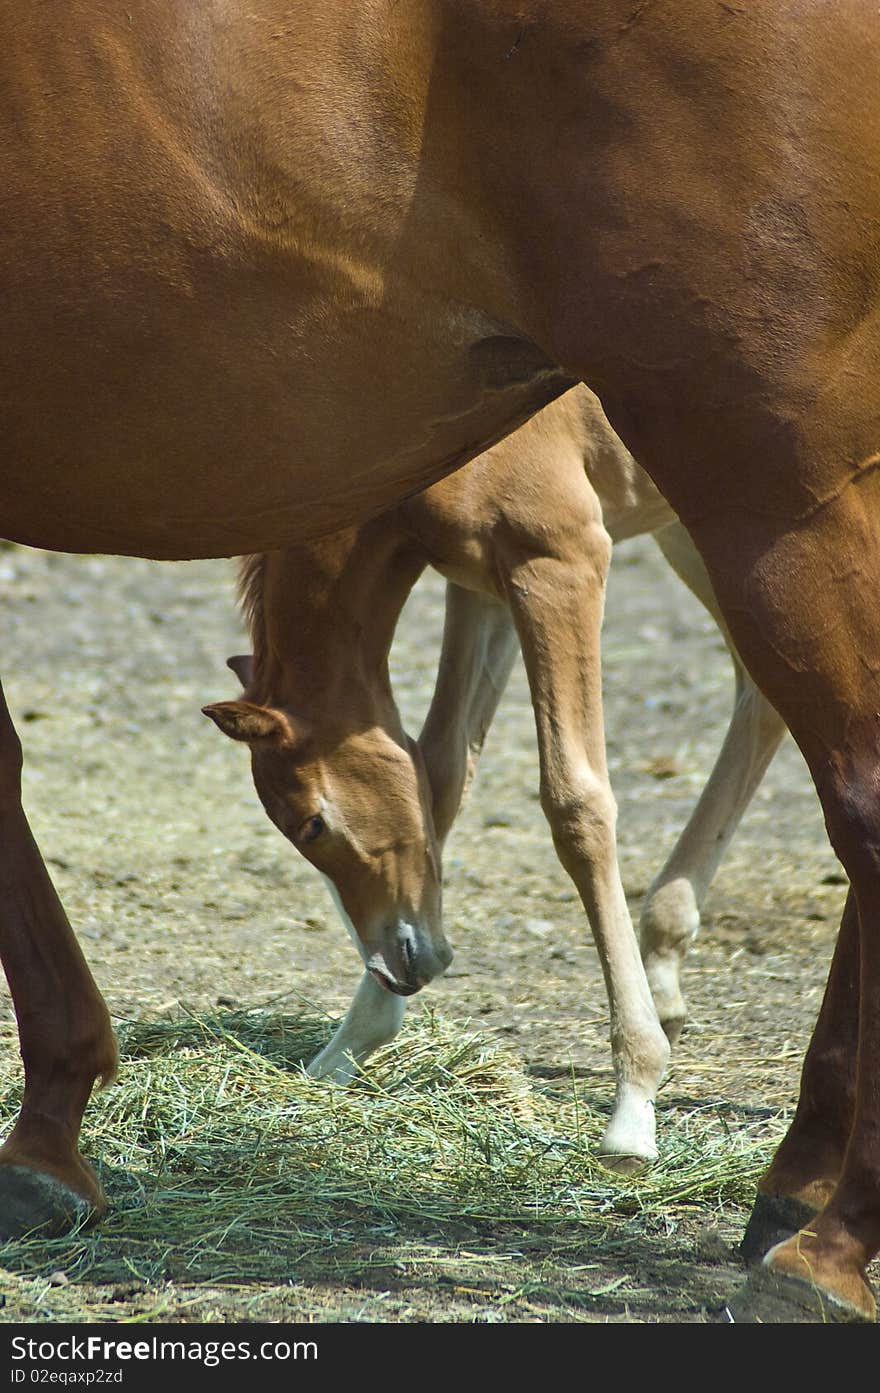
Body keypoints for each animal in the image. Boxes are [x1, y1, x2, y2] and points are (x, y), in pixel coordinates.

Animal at [1, 2, 880, 1326]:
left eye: (310, 823)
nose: (409, 962)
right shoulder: (476, 588)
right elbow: (441, 769)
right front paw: (347, 1043)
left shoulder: (560, 559)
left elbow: (573, 800)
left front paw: (633, 1100)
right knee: (767, 710)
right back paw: (779, 1161)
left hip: (756, 483)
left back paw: (821, 1237)